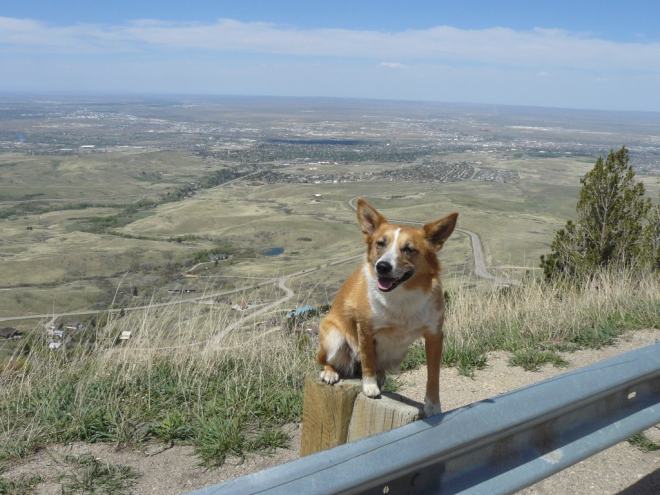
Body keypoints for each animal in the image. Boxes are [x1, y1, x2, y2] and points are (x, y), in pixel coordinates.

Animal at [318, 200, 456, 416]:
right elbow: (367, 360)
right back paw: (330, 373)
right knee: (326, 360)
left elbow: (433, 375)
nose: (382, 267)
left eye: (409, 249)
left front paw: (433, 405)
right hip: (334, 337)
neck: (402, 295)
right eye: (380, 243)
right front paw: (369, 386)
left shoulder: (435, 335)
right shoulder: (365, 329)